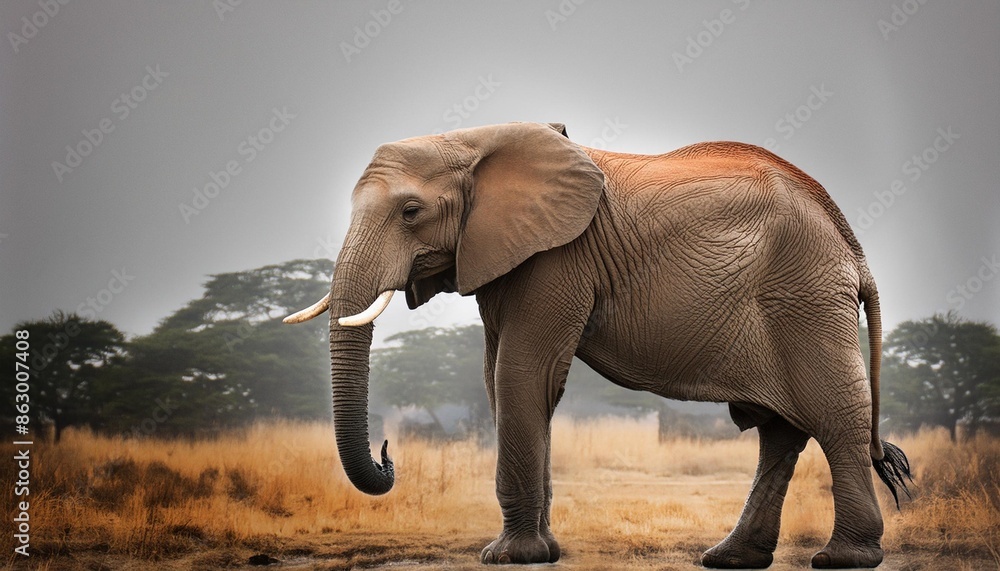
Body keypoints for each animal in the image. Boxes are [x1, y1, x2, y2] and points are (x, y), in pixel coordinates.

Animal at [284, 122, 912, 568]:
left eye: (411, 211)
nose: (389, 453)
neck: (474, 138)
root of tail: (852, 244)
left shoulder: (557, 258)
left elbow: (521, 374)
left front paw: (509, 558)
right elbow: (502, 381)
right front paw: (542, 552)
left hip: (805, 296)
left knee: (834, 416)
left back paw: (844, 559)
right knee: (781, 431)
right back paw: (730, 559)